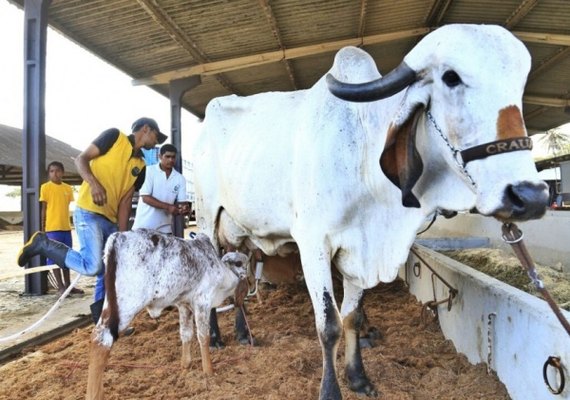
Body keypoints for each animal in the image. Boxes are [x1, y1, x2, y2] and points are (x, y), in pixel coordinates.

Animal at [193, 25, 548, 400]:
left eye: (520, 85)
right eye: (450, 77)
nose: (530, 195)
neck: (362, 150)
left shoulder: (358, 249)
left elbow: (353, 317)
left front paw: (358, 377)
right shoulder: (313, 243)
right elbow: (329, 325)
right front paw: (330, 391)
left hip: (242, 236)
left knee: (240, 281)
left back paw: (242, 333)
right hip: (206, 220)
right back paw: (214, 338)